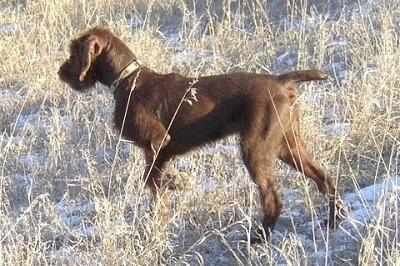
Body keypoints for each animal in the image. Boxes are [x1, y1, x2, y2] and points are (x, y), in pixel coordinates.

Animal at [58, 27, 340, 241]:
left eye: (73, 53)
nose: (60, 72)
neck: (128, 80)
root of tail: (281, 82)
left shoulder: (158, 142)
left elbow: (152, 179)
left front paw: (173, 186)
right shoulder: (157, 150)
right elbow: (155, 183)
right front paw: (170, 194)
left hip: (256, 148)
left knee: (273, 199)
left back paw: (258, 238)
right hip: (287, 145)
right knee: (324, 178)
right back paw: (333, 221)